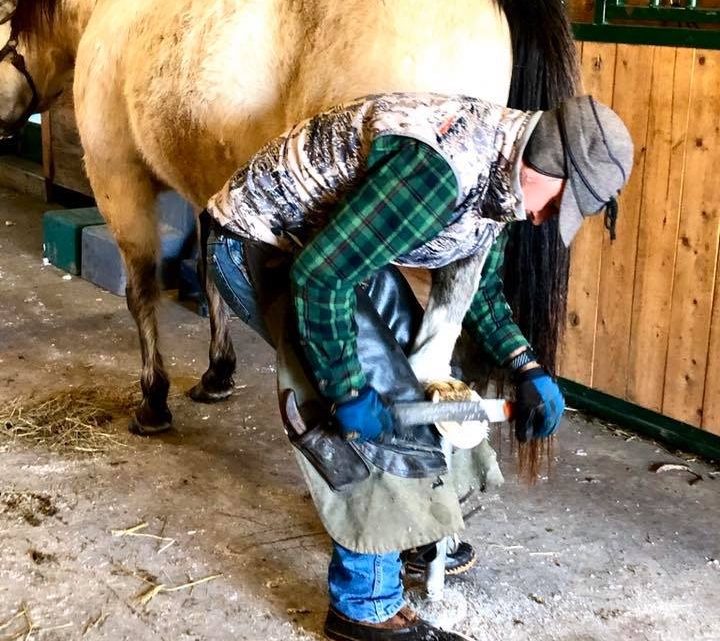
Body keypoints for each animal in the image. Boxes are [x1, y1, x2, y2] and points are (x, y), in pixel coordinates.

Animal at [0, 0, 576, 432]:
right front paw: (217, 375)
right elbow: (209, 278)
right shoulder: (211, 185)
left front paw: (154, 402)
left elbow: (141, 292)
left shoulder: (118, 179)